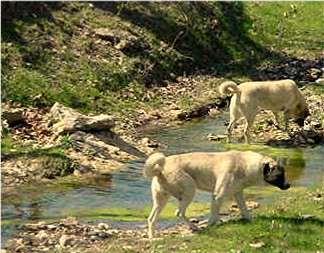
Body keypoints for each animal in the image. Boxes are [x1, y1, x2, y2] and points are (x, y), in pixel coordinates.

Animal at [143, 150, 290, 239]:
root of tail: (161, 168)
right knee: (179, 213)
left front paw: (251, 220)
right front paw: (209, 227)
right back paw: (194, 227)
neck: (244, 165)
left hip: (161, 200)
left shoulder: (238, 194)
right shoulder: (218, 196)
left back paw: (152, 237)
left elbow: (244, 209)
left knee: (152, 219)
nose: (288, 185)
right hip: (189, 190)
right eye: (280, 175)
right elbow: (214, 215)